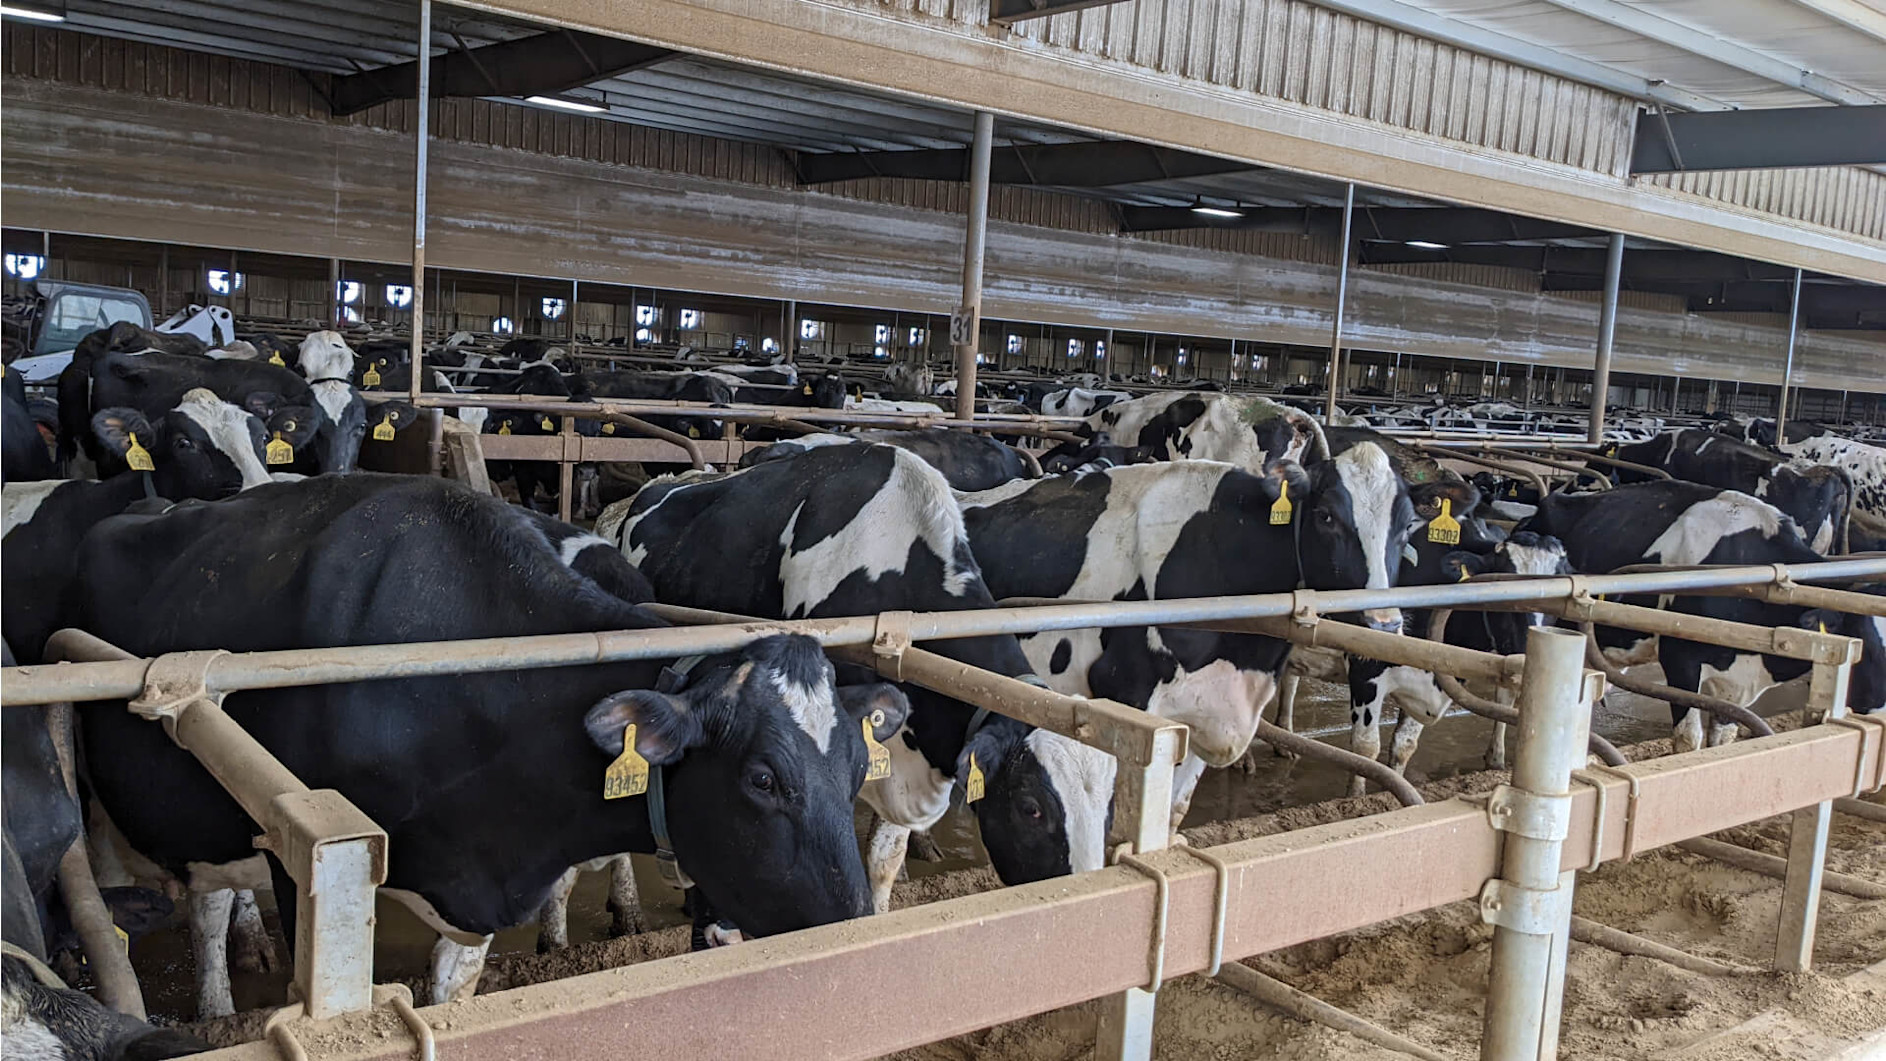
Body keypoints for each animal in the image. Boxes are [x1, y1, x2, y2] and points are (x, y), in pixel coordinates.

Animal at [72, 474, 908, 1009]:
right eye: (763, 779)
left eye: (856, 768)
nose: (860, 931)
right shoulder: (301, 863)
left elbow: (454, 996)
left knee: (210, 899)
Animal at [959, 444, 1417, 834]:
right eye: (1326, 516)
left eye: (1407, 526)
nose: (1384, 624)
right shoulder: (1125, 695)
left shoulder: (1209, 714)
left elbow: (1173, 811)